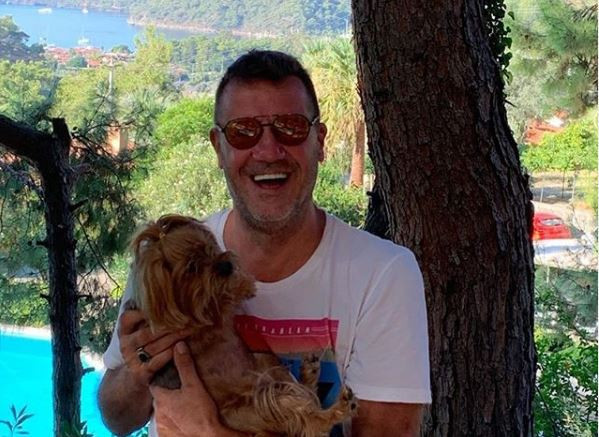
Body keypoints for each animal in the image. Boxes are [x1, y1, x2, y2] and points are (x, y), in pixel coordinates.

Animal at [128, 214, 357, 436]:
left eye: (209, 247)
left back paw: (309, 373)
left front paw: (243, 284)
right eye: (192, 267)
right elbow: (218, 300)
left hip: (264, 362)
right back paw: (336, 409)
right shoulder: (203, 314)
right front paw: (241, 286)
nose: (226, 266)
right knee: (309, 423)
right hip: (260, 404)